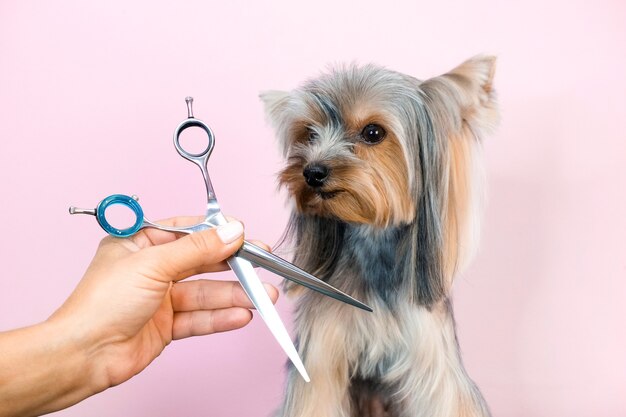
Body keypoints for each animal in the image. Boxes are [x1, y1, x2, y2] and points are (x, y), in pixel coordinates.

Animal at [260, 55, 494, 416]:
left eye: (373, 132)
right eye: (309, 133)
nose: (312, 172)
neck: (374, 244)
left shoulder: (431, 360)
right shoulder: (322, 355)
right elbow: (316, 397)